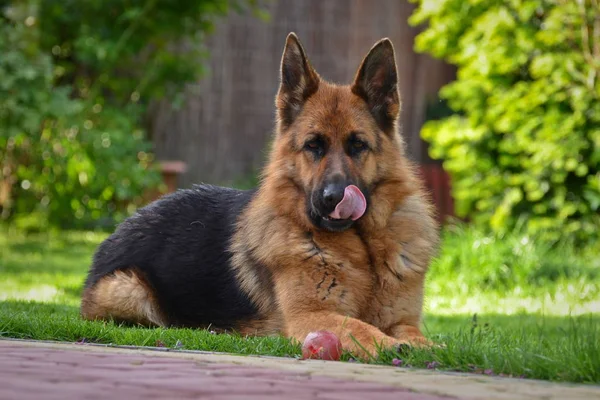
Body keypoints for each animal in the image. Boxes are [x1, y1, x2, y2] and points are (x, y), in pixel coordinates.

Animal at [79, 33, 438, 360]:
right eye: (313, 145)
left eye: (357, 145)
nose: (333, 198)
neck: (362, 249)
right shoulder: (310, 316)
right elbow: (358, 327)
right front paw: (391, 345)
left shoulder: (402, 320)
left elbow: (416, 335)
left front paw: (427, 346)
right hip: (128, 288)